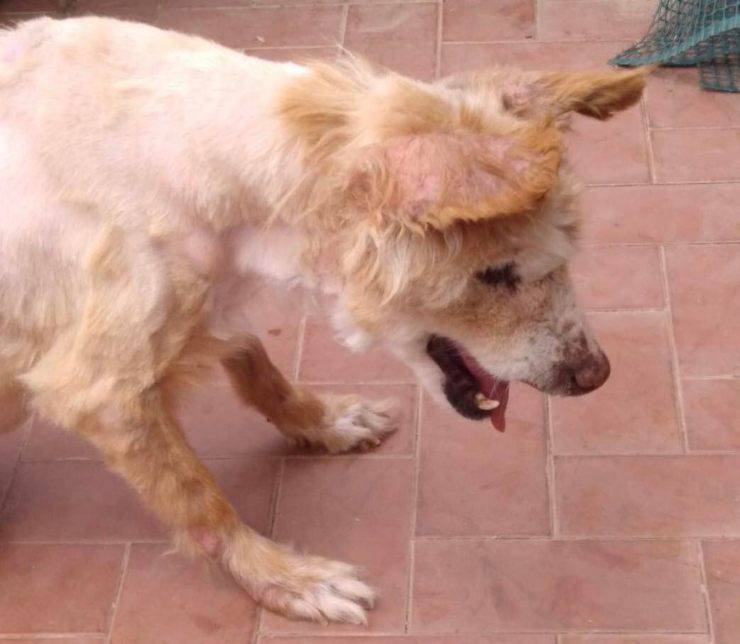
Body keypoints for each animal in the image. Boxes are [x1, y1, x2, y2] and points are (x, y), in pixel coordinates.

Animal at [1, 16, 648, 624]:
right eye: (495, 274)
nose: (597, 375)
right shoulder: (100, 391)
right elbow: (201, 501)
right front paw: (285, 578)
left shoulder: (213, 299)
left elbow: (259, 369)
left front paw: (325, 423)